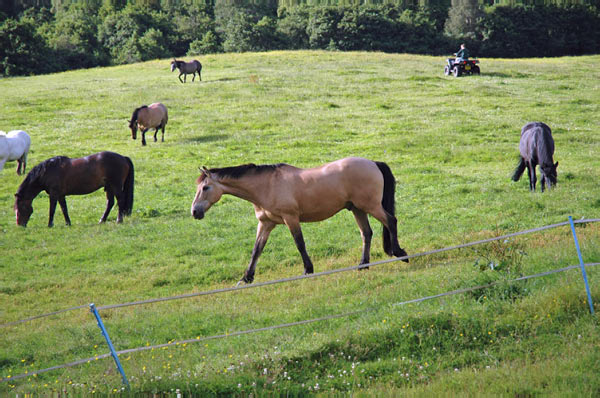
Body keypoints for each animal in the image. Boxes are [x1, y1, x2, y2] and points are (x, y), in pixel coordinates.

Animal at [190, 157, 410, 284]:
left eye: (206, 187)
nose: (194, 212)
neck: (266, 185)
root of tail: (373, 163)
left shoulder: (291, 218)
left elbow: (300, 244)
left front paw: (308, 270)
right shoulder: (266, 223)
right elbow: (257, 249)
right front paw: (246, 278)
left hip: (370, 206)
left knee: (391, 221)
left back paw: (400, 254)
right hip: (357, 208)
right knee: (367, 233)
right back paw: (363, 265)